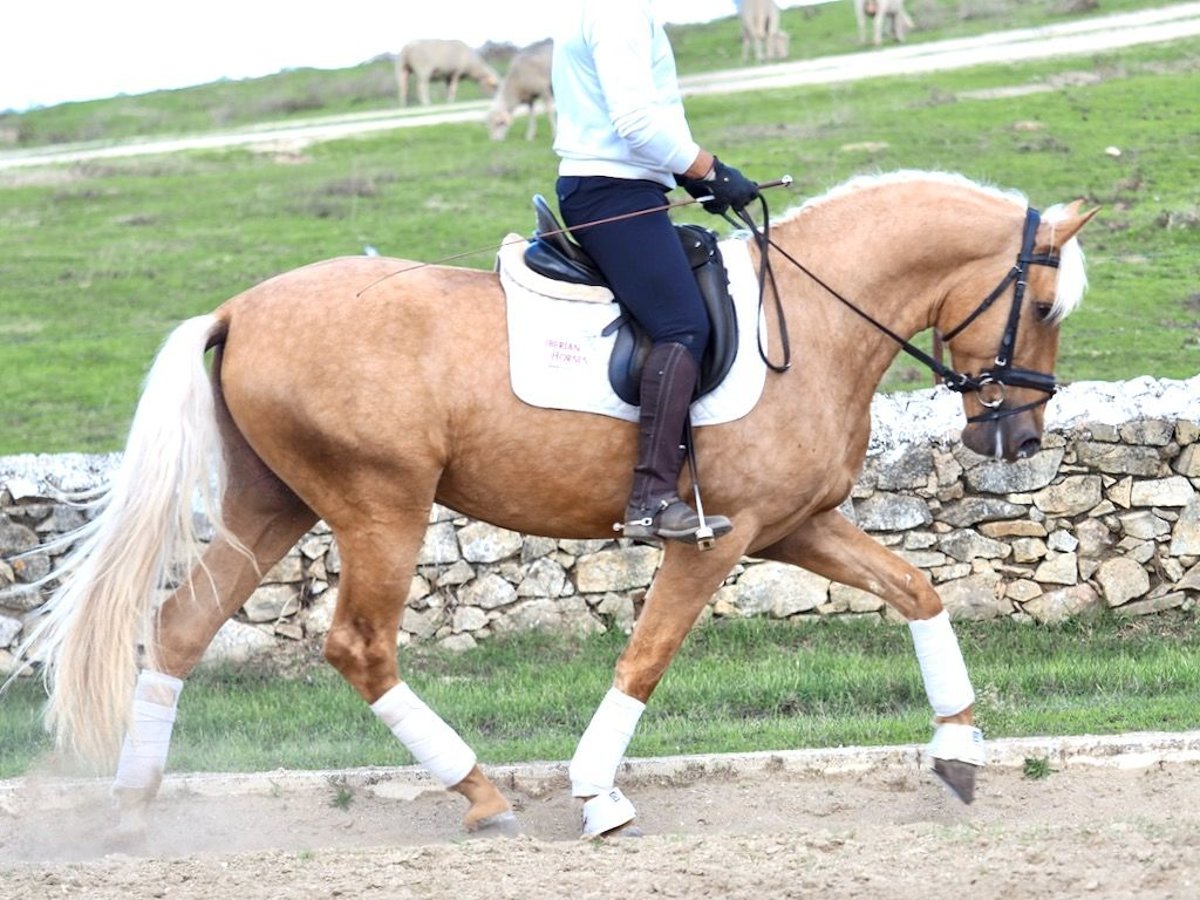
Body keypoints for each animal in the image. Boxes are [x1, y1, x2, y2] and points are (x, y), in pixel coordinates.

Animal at [18, 170, 1099, 844]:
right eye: (1045, 308)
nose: (1017, 441)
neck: (817, 319)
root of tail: (240, 308)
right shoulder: (716, 541)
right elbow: (646, 657)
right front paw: (596, 795)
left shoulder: (792, 526)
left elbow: (918, 589)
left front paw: (957, 754)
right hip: (380, 505)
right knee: (359, 647)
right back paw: (480, 794)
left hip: (273, 500)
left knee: (181, 625)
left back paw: (135, 805)